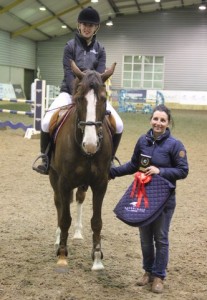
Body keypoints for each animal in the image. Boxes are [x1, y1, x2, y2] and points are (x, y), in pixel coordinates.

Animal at [49, 60, 116, 270]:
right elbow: (64, 219)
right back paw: (57, 238)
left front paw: (97, 258)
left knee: (79, 198)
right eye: (79, 99)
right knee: (59, 203)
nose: (91, 145)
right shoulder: (63, 182)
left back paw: (78, 234)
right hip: (54, 177)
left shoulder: (100, 183)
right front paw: (62, 254)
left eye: (103, 98)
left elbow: (97, 221)